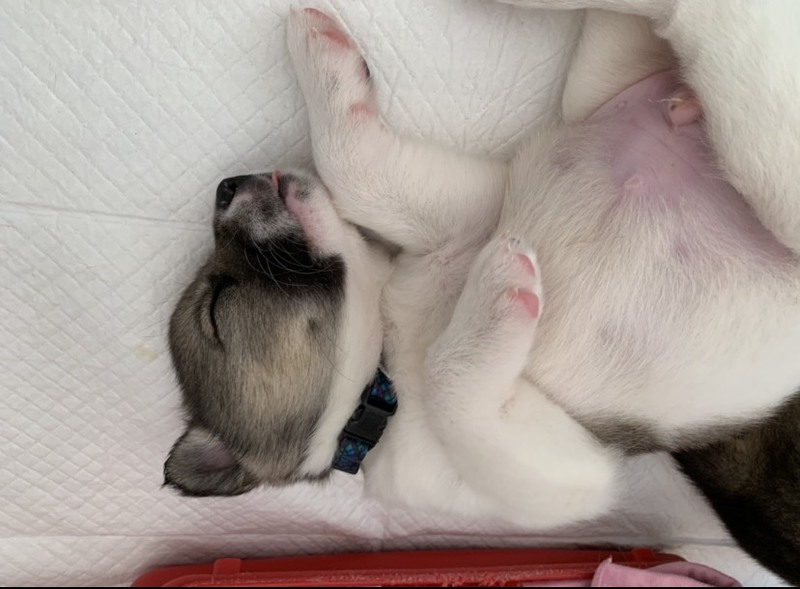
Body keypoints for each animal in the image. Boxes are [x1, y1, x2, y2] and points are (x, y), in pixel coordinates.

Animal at [165, 0, 800, 583]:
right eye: (217, 309)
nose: (225, 186)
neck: (389, 365)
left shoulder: (464, 214)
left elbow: (353, 168)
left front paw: (323, 58)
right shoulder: (570, 470)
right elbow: (453, 380)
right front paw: (500, 292)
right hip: (626, 79)